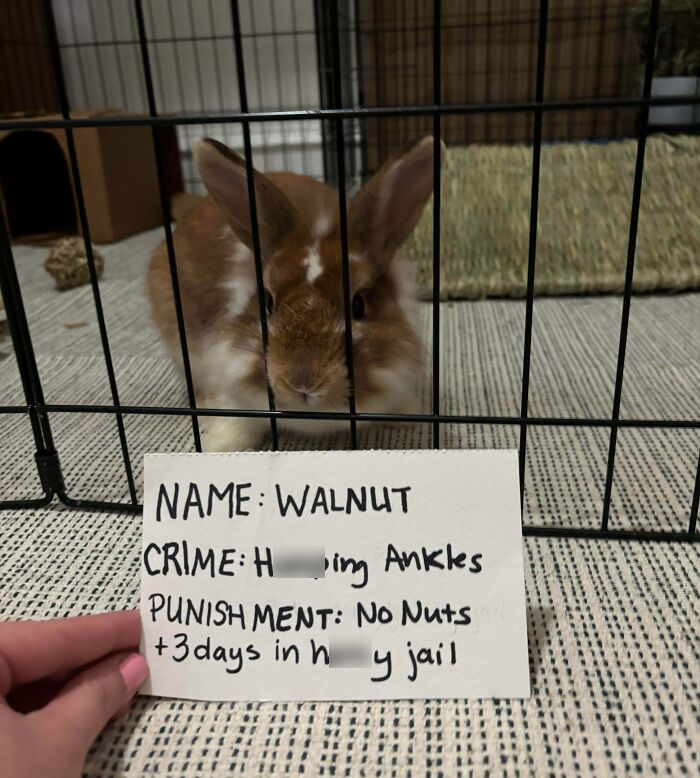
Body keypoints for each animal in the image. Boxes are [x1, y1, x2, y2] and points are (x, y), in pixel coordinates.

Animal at [148, 135, 444, 451]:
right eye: (267, 302)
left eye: (358, 305)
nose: (303, 384)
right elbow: (236, 422)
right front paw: (218, 445)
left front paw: (411, 414)